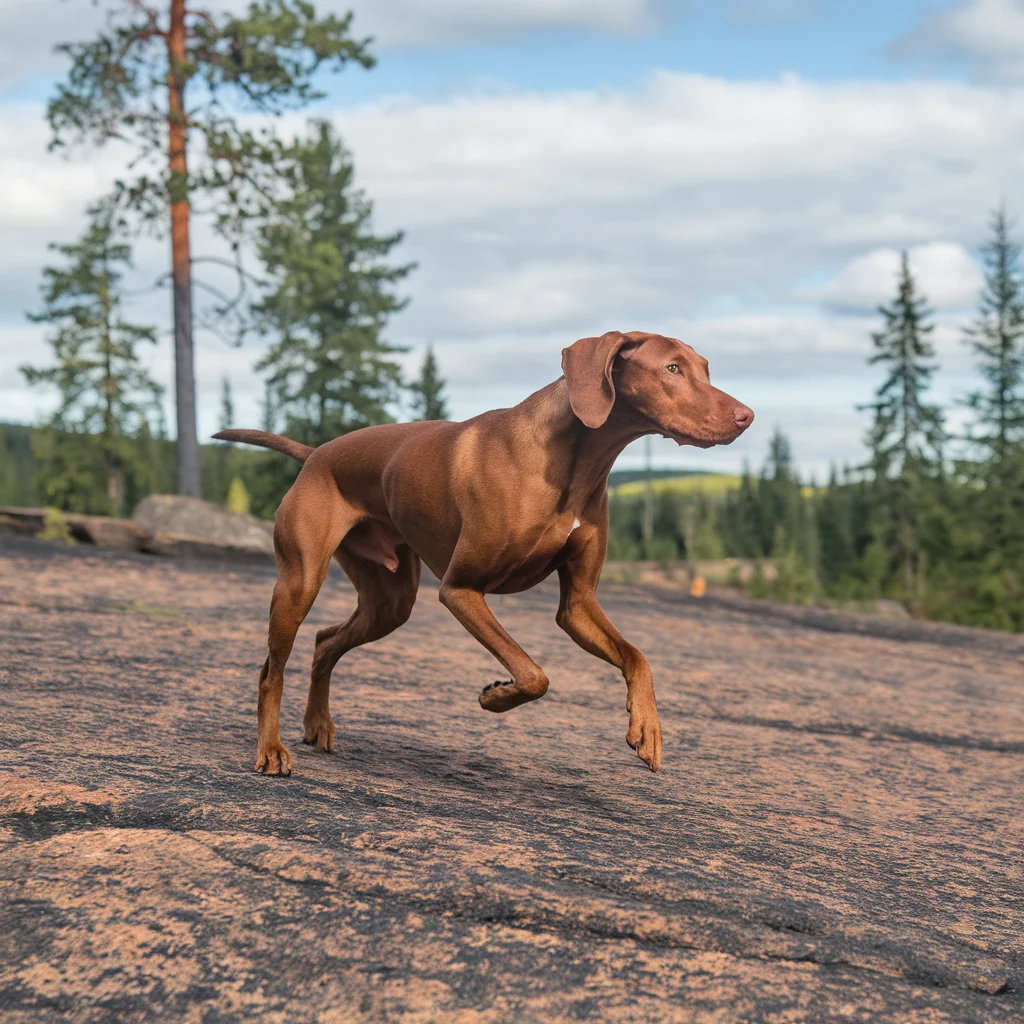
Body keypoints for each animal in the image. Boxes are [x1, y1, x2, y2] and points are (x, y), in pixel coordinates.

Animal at [216, 329, 757, 774]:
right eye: (673, 368)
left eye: (705, 367)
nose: (747, 416)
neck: (573, 461)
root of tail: (316, 454)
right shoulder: (462, 589)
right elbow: (534, 674)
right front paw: (496, 697)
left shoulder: (578, 606)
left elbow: (637, 657)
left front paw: (647, 726)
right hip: (301, 582)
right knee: (270, 671)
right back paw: (271, 750)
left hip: (390, 601)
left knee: (326, 641)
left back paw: (318, 725)